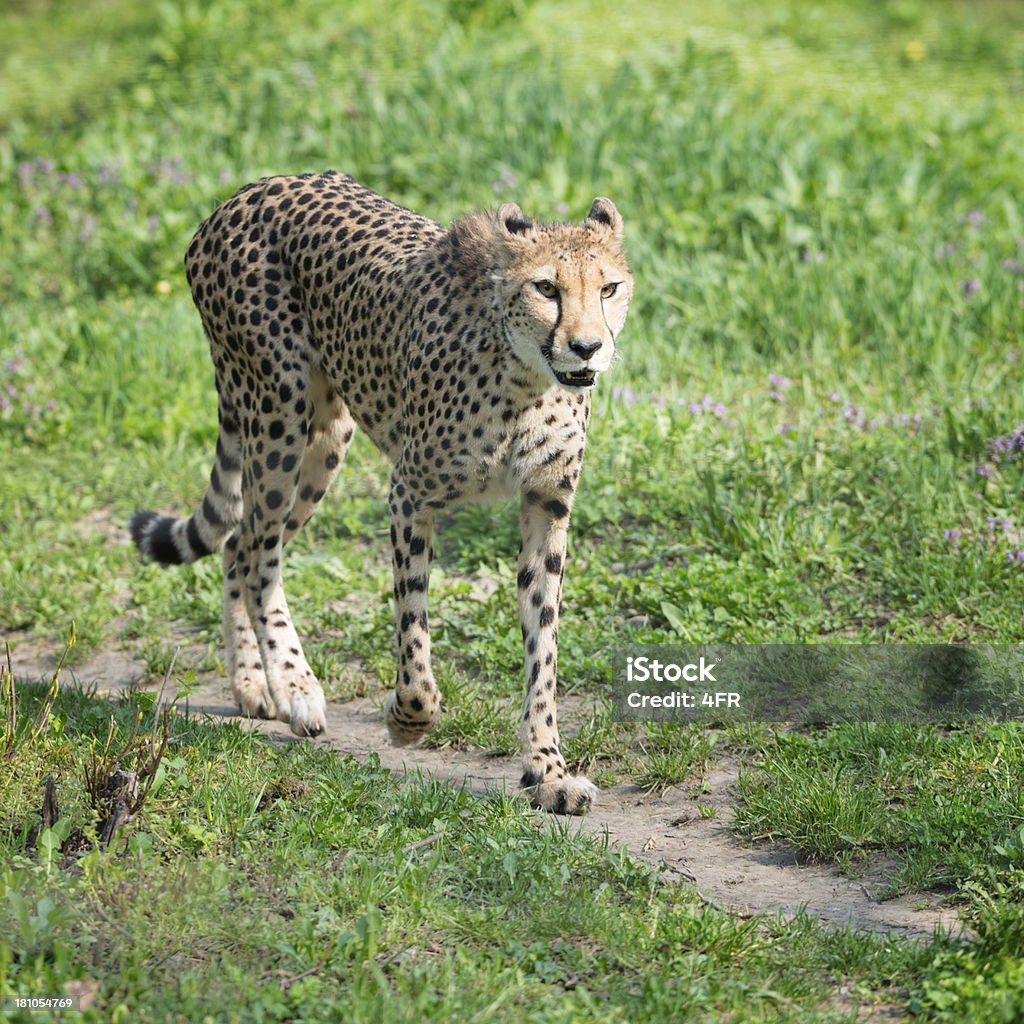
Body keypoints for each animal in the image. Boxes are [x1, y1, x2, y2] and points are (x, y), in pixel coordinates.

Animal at [130, 174, 630, 815]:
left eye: (609, 287)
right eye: (546, 287)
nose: (588, 347)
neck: (524, 379)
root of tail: (251, 190)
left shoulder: (547, 505)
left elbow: (542, 648)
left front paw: (548, 769)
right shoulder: (409, 495)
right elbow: (414, 639)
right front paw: (406, 720)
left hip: (326, 438)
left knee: (238, 546)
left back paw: (251, 684)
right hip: (277, 413)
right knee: (257, 552)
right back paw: (294, 685)